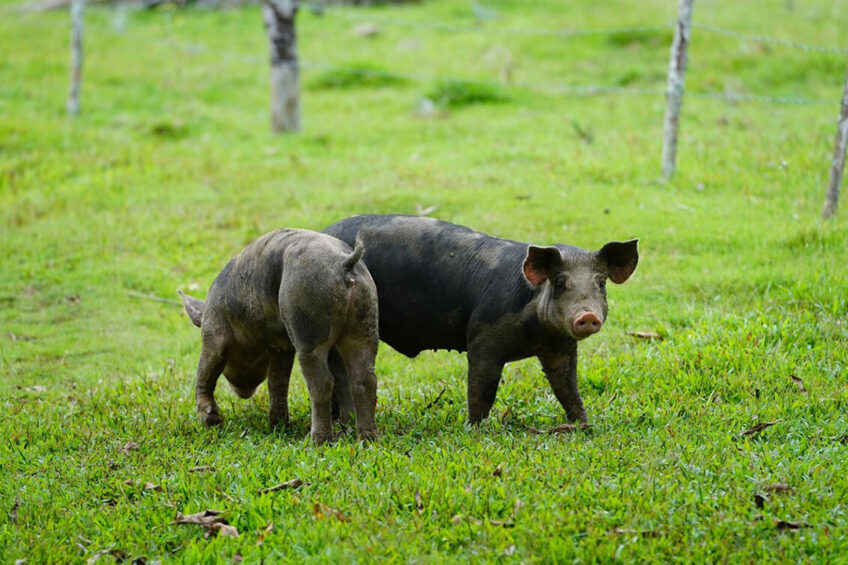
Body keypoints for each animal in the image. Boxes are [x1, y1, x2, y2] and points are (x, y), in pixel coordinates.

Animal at [179, 227, 378, 442]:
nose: (243, 393)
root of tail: (345, 263)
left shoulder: (214, 332)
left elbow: (205, 372)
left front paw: (211, 422)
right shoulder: (282, 345)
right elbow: (278, 381)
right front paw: (278, 426)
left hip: (307, 322)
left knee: (322, 382)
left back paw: (318, 441)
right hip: (364, 320)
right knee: (364, 378)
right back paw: (366, 439)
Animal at [322, 215, 636, 424]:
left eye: (600, 284)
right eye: (560, 283)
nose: (588, 316)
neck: (537, 334)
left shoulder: (561, 348)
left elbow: (567, 387)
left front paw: (583, 423)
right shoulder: (484, 339)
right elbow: (482, 387)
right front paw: (475, 428)